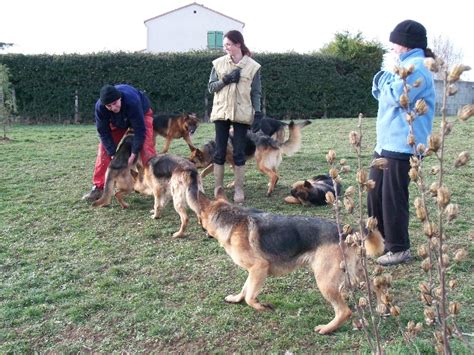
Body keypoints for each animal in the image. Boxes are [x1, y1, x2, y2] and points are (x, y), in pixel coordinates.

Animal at [196, 191, 386, 336]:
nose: (202, 231)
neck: (230, 218)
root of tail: (349, 233)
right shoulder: (253, 272)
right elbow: (245, 289)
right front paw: (236, 299)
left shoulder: (259, 268)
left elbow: (250, 297)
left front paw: (261, 306)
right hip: (356, 273)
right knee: (375, 285)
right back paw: (381, 306)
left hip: (325, 282)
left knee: (344, 311)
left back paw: (326, 329)